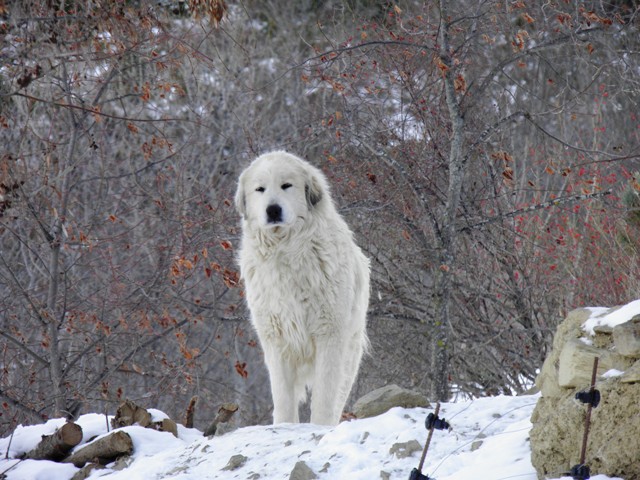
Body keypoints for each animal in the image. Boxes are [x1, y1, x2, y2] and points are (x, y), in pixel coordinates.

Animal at [236, 152, 370, 426]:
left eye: (286, 185)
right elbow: (283, 396)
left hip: (349, 353)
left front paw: (320, 426)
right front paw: (284, 426)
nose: (273, 209)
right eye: (260, 189)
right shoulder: (276, 337)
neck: (285, 250)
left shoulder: (329, 333)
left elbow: (324, 394)